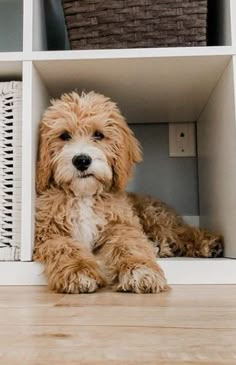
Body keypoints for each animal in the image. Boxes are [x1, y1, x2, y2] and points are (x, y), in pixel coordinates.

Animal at [33, 90, 223, 292]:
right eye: (64, 136)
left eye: (98, 135)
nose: (82, 160)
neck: (84, 195)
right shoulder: (49, 232)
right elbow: (65, 248)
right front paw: (79, 272)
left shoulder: (122, 225)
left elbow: (129, 244)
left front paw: (140, 271)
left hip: (155, 218)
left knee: (182, 232)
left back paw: (209, 243)